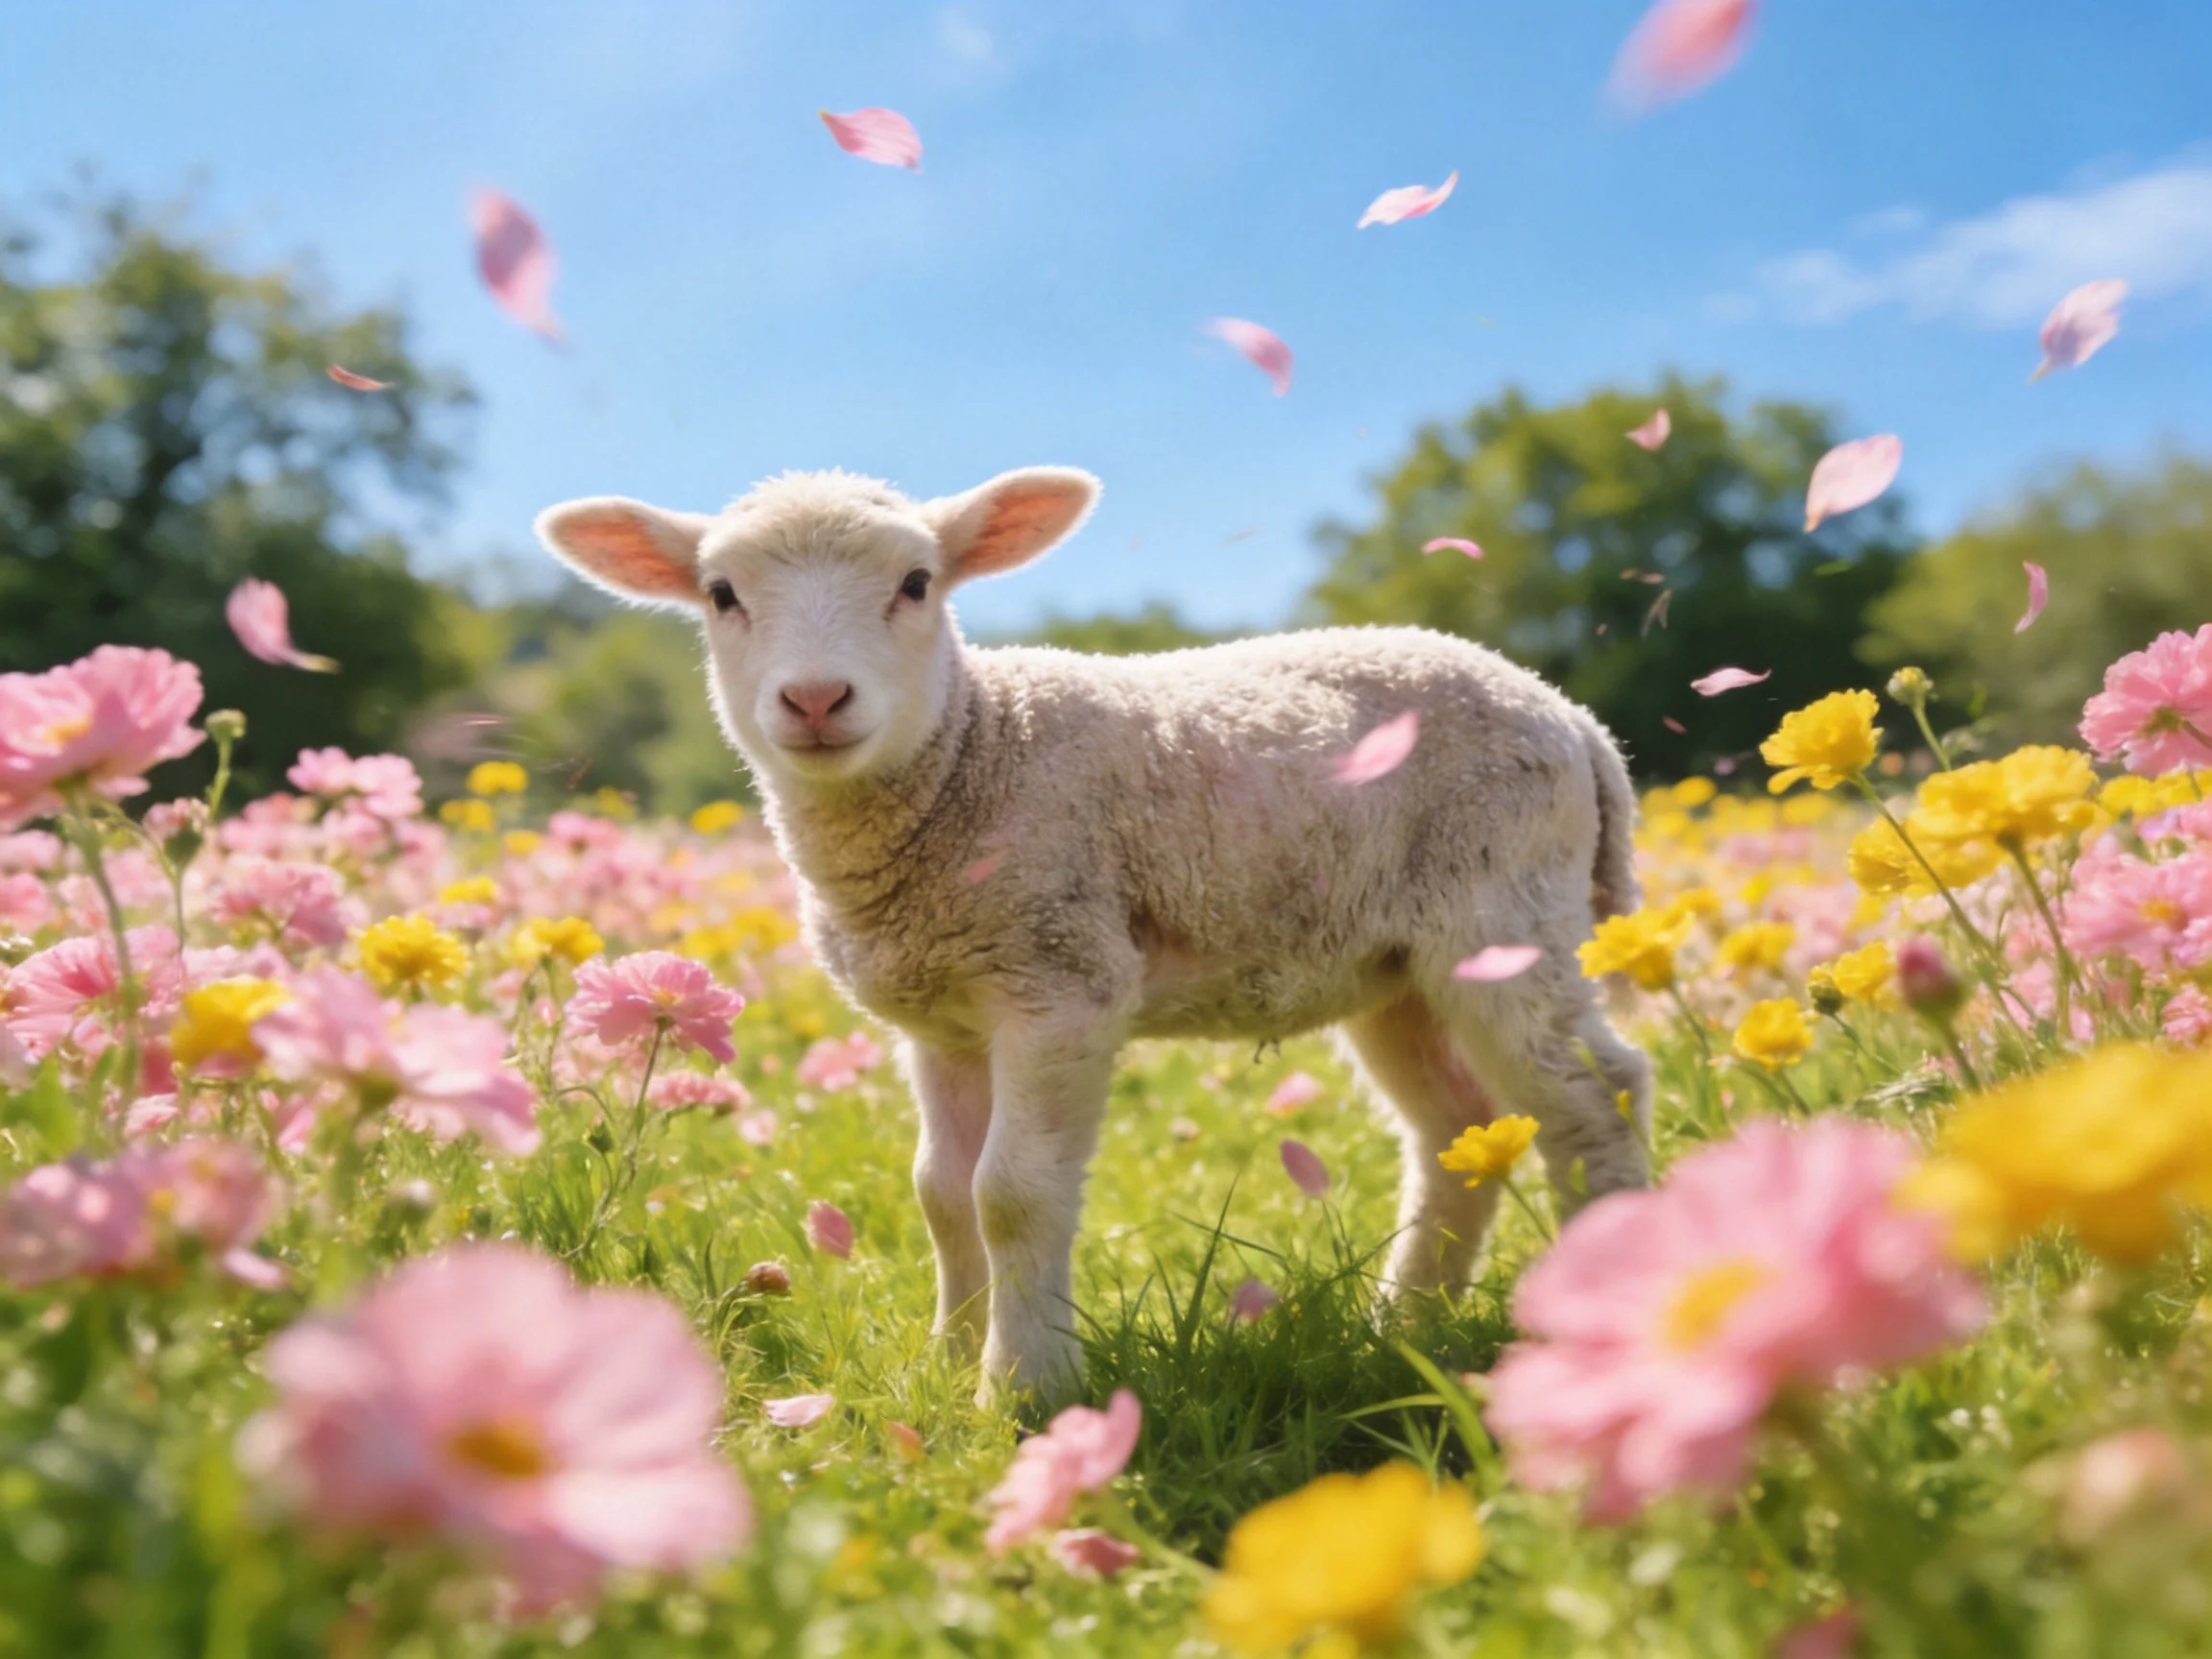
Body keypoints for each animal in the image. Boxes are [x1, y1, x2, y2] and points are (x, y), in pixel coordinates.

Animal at [536, 466, 1652, 1401]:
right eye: (722, 593)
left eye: (917, 583)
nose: (814, 698)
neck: (973, 752)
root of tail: (1576, 721)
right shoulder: (942, 1018)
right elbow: (942, 1195)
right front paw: (947, 1365)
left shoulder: (1060, 978)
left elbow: (1012, 1195)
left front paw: (1025, 1389)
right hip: (1396, 966)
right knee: (1455, 1128)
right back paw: (1404, 1328)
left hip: (1507, 907)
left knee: (1596, 1097)